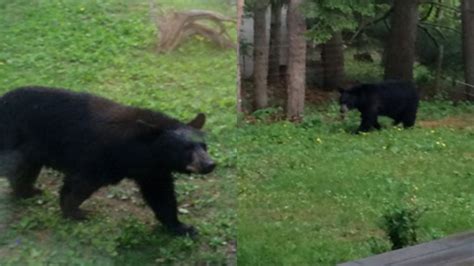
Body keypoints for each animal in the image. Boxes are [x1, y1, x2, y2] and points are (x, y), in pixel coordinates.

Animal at [0, 86, 217, 236]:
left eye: (203, 146)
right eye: (186, 149)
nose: (209, 164)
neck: (141, 148)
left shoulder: (152, 170)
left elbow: (161, 196)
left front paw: (182, 227)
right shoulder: (100, 157)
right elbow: (79, 184)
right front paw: (76, 213)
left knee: (24, 171)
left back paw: (28, 191)